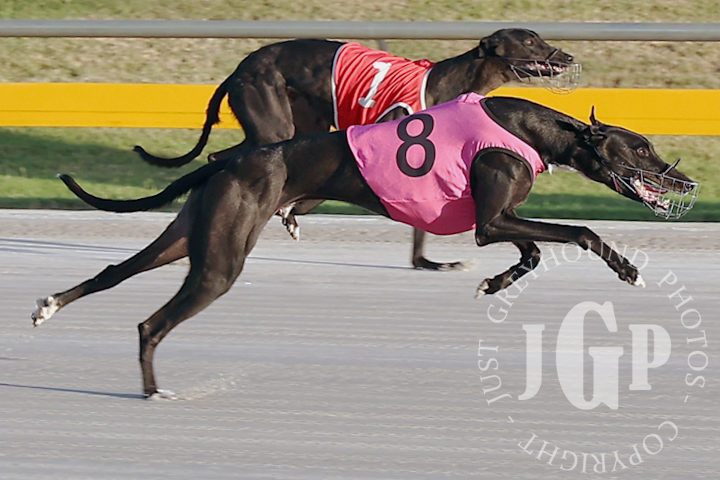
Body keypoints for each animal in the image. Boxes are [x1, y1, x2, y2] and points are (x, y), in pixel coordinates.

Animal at [32, 94, 699, 399]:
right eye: (641, 148)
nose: (686, 181)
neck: (528, 127)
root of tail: (232, 158)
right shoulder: (493, 220)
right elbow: (580, 233)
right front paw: (628, 269)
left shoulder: (502, 221)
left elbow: (532, 254)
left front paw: (493, 283)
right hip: (220, 262)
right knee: (153, 322)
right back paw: (152, 389)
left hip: (188, 238)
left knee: (116, 271)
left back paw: (48, 307)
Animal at [133, 29, 578, 271]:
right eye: (529, 40)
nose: (568, 55)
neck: (450, 80)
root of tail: (239, 69)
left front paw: (428, 262)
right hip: (273, 120)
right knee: (228, 158)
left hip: (297, 122)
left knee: (221, 157)